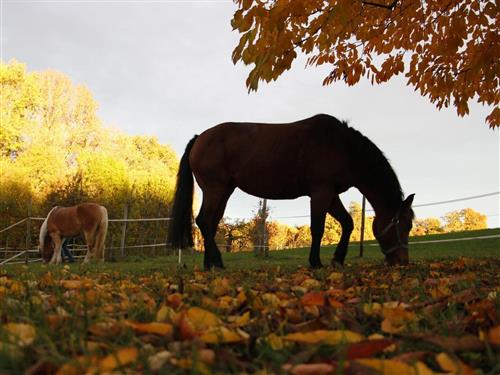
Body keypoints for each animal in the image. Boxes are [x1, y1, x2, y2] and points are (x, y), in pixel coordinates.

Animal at [168, 114, 414, 270]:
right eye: (403, 225)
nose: (402, 261)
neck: (343, 147)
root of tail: (199, 138)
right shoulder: (321, 192)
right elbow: (318, 228)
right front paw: (316, 262)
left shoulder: (331, 194)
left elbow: (347, 223)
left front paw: (337, 260)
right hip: (215, 189)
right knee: (204, 220)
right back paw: (217, 263)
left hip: (224, 191)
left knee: (210, 223)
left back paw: (210, 263)